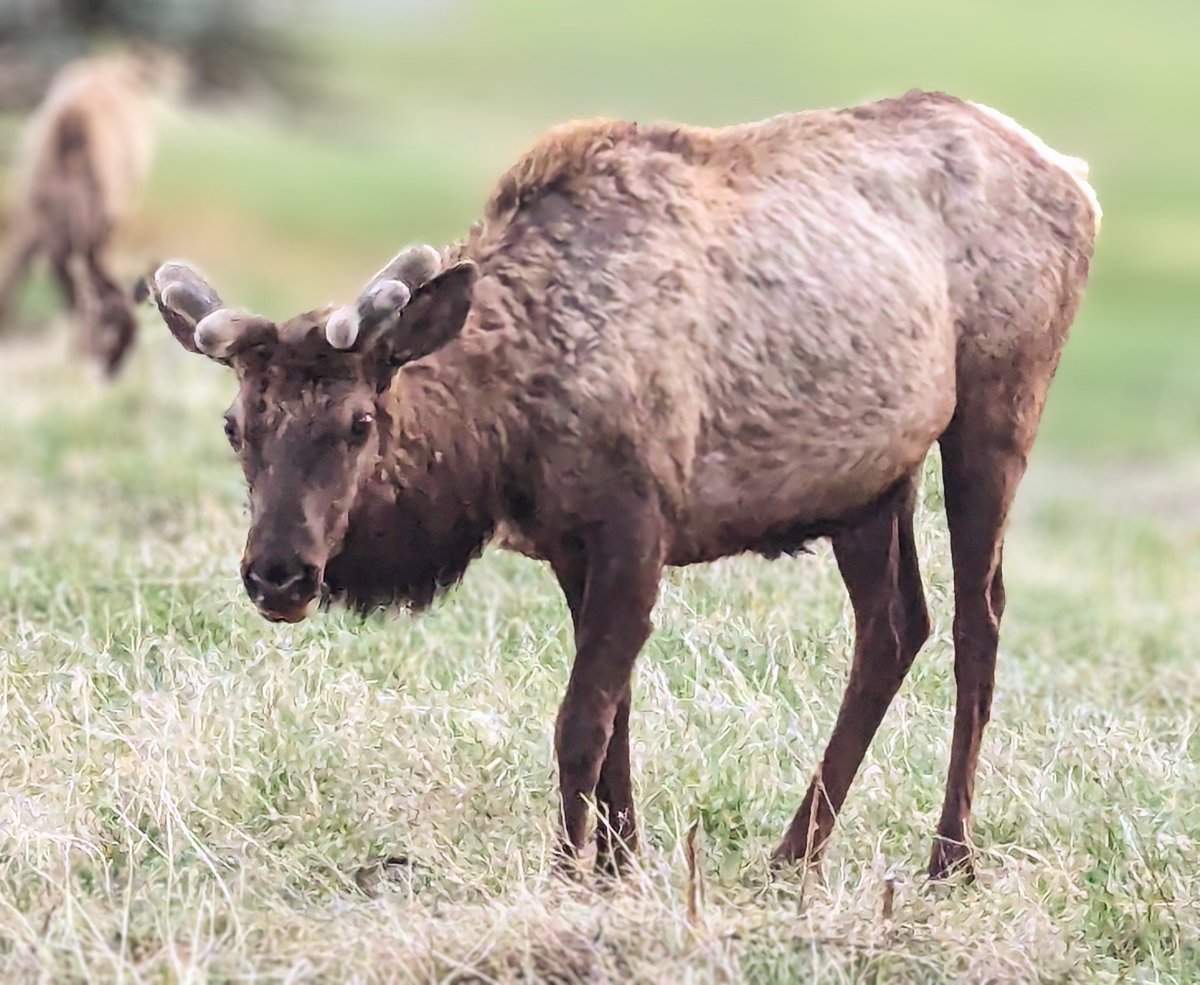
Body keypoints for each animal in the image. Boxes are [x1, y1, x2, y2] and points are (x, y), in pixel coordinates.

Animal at [147, 90, 1099, 878]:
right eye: (236, 425)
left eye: (359, 423)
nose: (278, 574)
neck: (508, 428)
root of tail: (1078, 181)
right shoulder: (576, 545)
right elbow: (618, 724)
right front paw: (621, 863)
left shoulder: (639, 524)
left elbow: (579, 724)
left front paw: (569, 873)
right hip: (870, 481)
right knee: (895, 625)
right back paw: (793, 853)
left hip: (998, 409)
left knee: (979, 622)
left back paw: (948, 857)